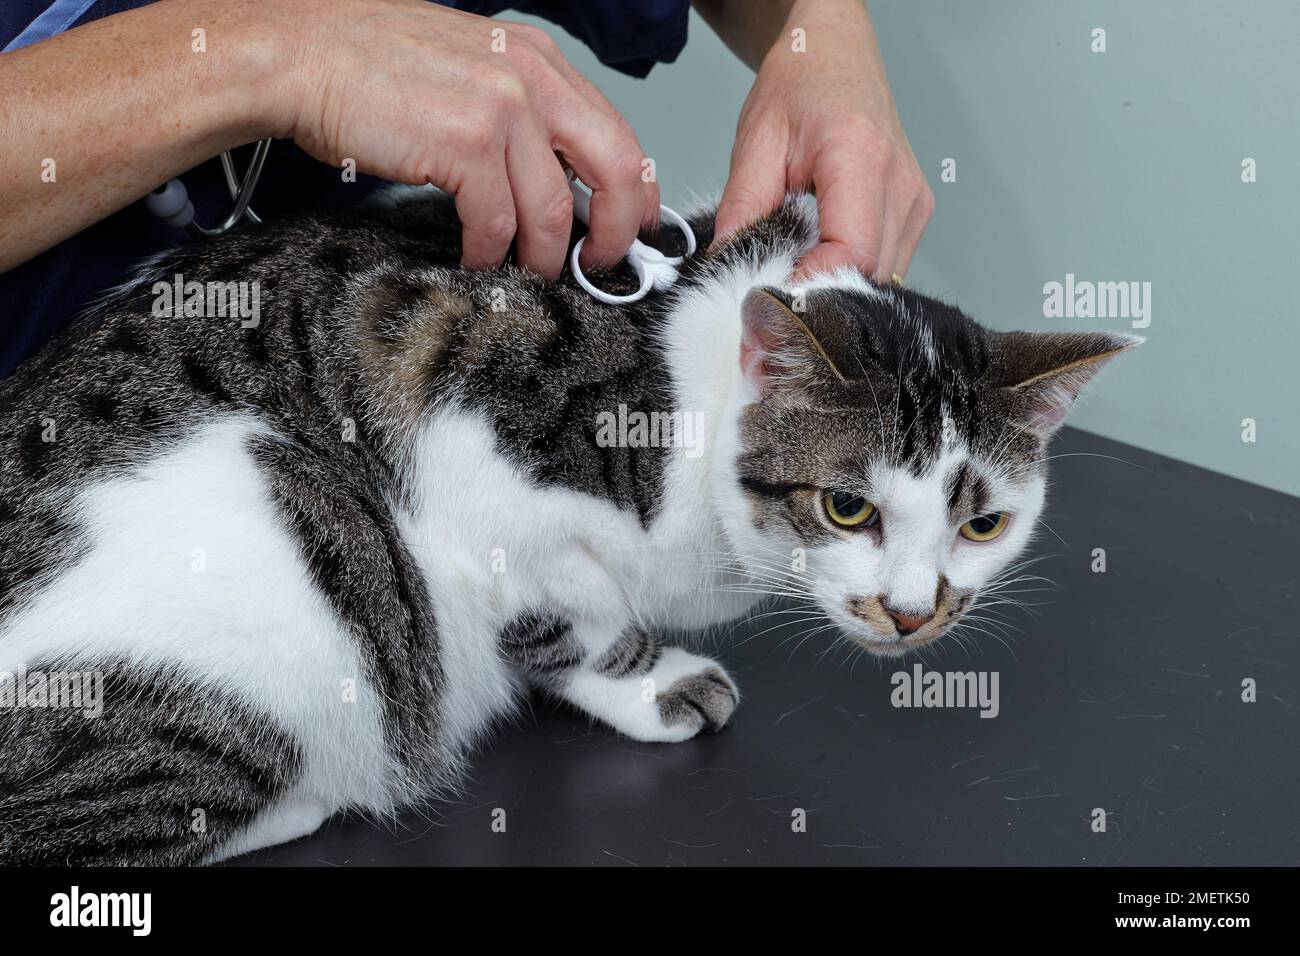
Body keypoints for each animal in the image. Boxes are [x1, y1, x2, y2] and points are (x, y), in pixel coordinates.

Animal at [0, 188, 1138, 868]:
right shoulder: (475, 448)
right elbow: (573, 614)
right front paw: (652, 679)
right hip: (298, 529)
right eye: (847, 506)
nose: (912, 613)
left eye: (982, 523)